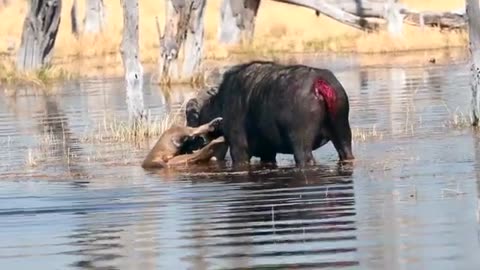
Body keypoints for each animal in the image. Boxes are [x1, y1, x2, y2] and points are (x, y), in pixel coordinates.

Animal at [186, 61, 354, 167]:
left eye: (193, 118)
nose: (192, 142)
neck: (221, 102)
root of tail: (319, 81)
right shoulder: (268, 153)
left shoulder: (238, 149)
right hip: (343, 135)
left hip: (301, 144)